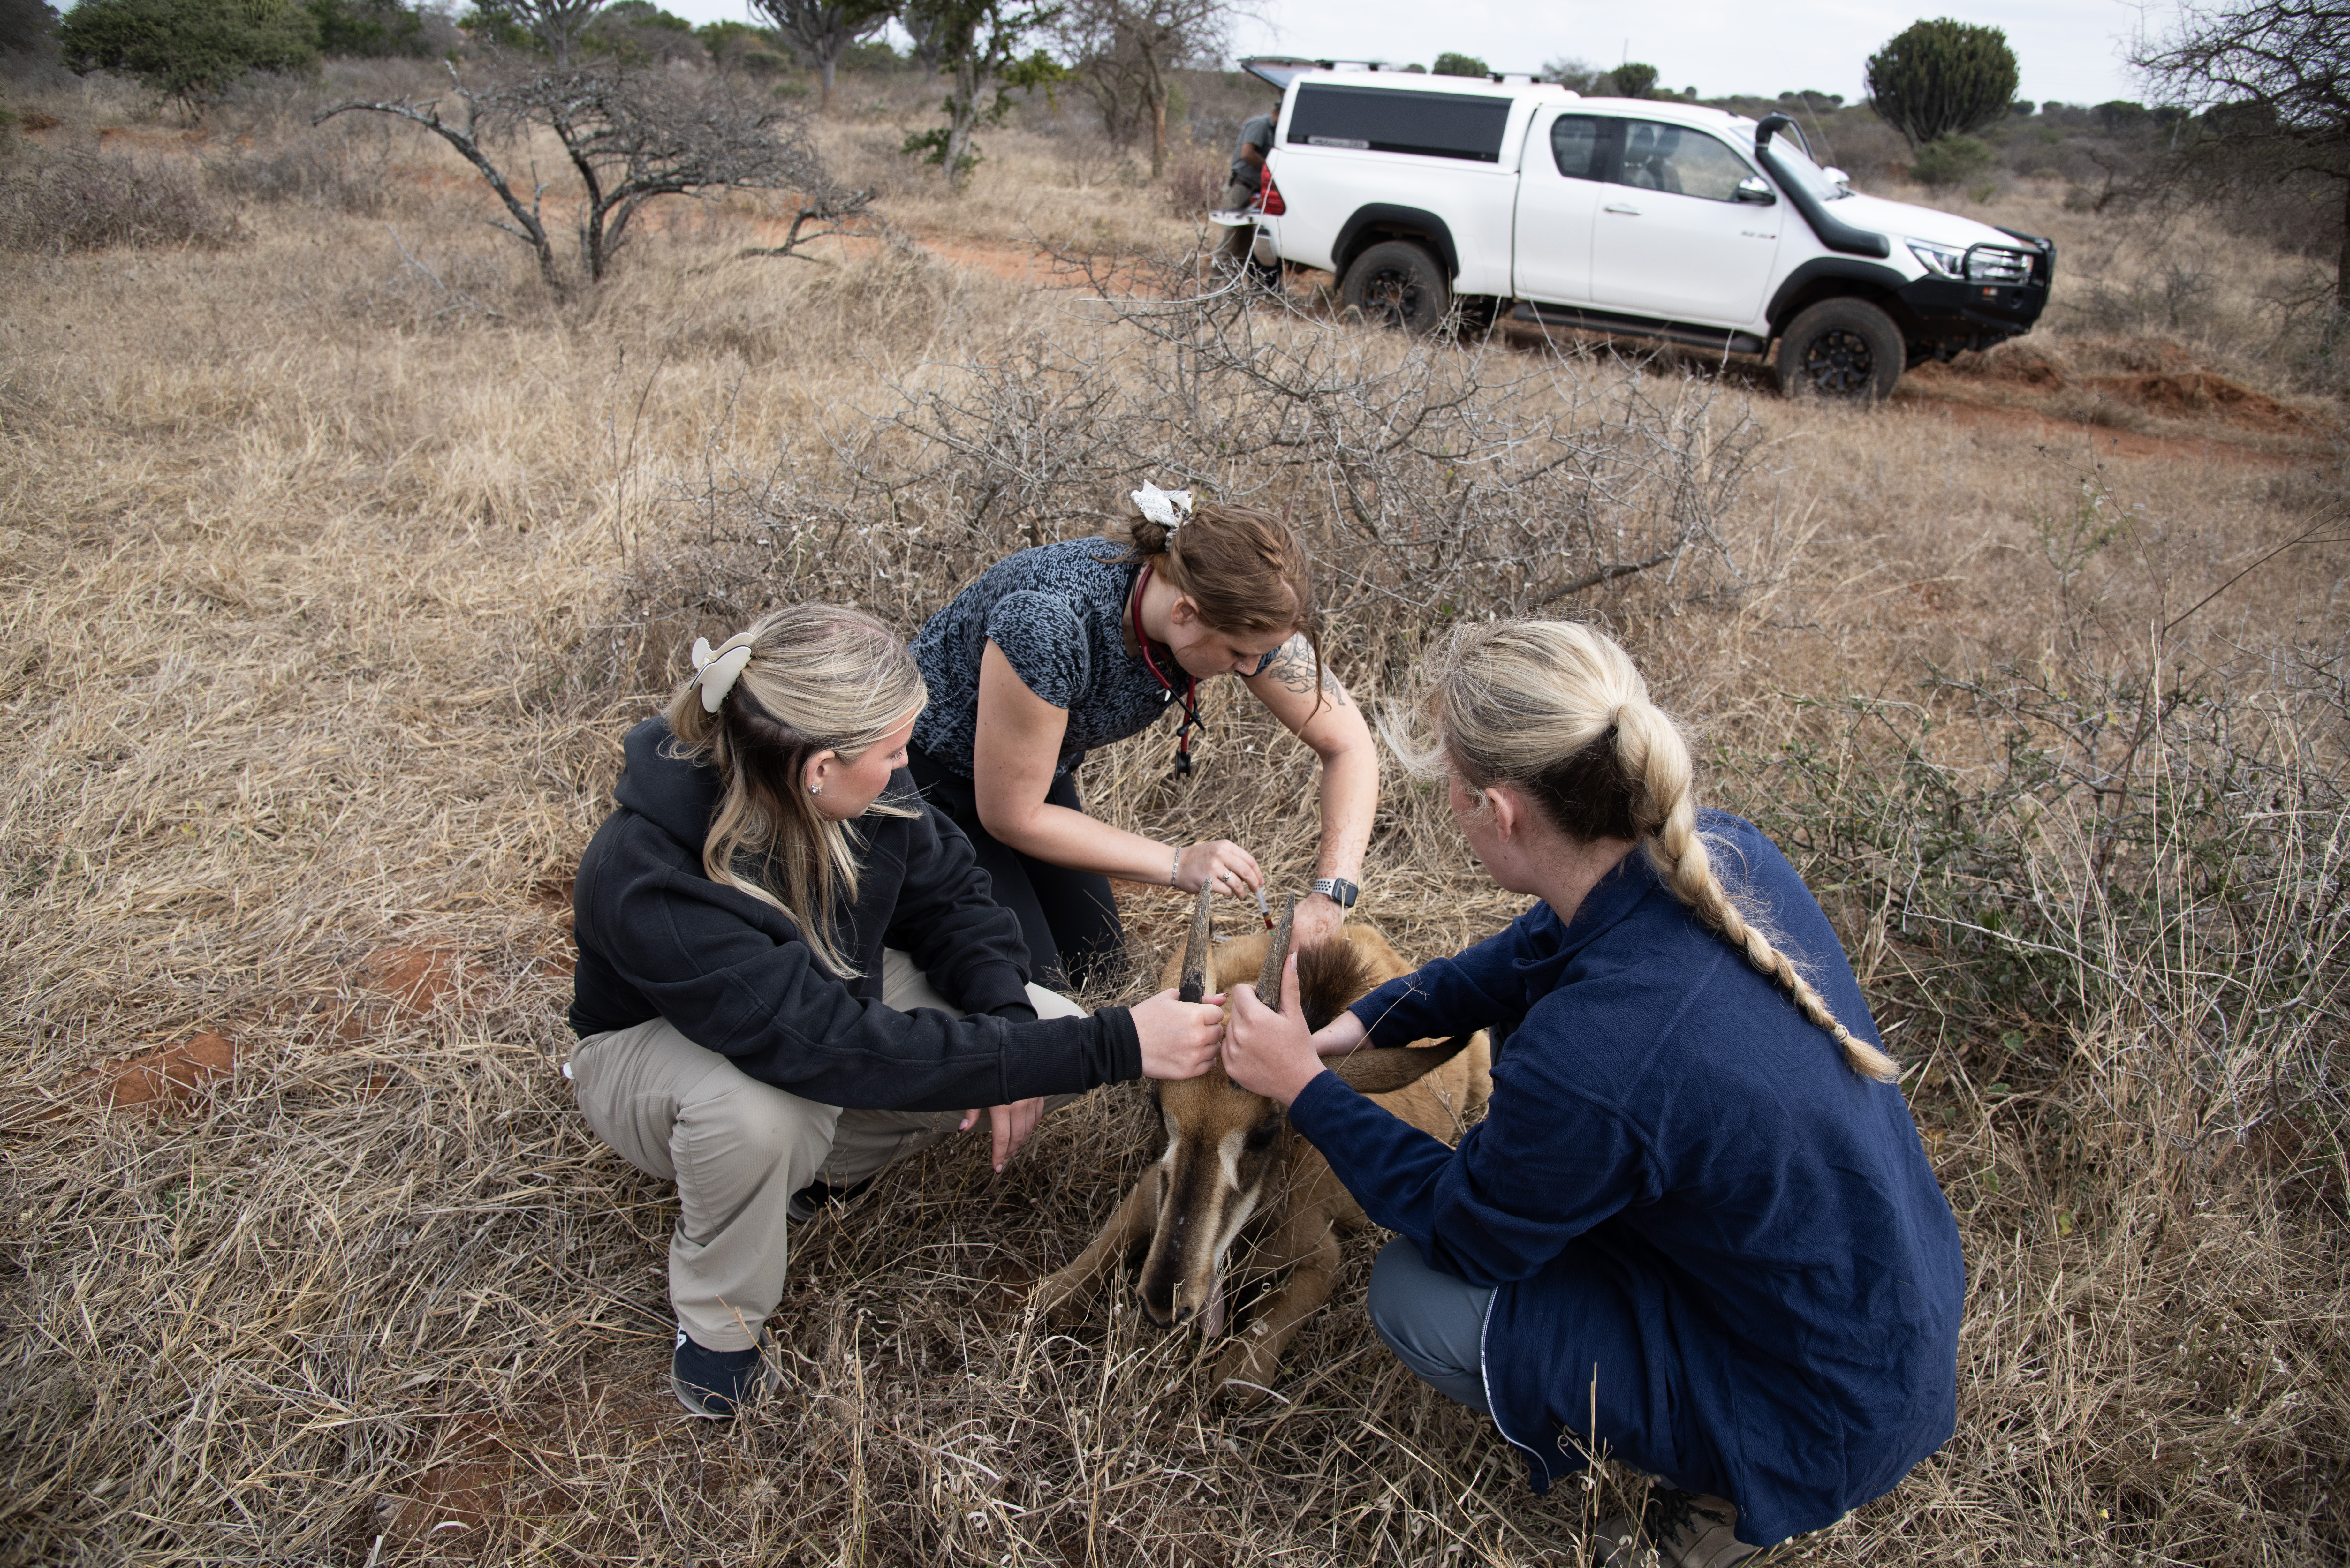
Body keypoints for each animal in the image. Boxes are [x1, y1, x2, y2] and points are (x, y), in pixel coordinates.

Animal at [1031, 891, 1491, 1404]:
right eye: (1158, 1104)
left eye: (1265, 1133)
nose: (1164, 1303)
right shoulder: (1153, 1187)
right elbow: (1069, 1280)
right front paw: (1062, 1290)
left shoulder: (1321, 1256)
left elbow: (1239, 1379)